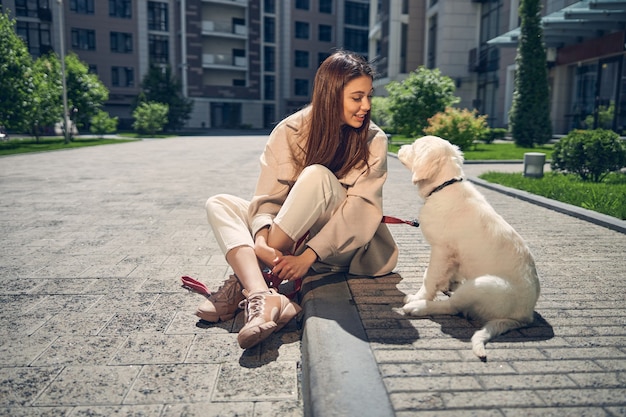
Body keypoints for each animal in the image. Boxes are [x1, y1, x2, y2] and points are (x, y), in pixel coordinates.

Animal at [398, 136, 540, 358]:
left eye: (414, 146)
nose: (399, 147)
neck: (444, 186)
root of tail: (524, 317)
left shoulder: (441, 249)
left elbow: (429, 276)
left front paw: (419, 296)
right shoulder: (454, 254)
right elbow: (446, 274)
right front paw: (446, 284)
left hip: (480, 285)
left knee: (453, 307)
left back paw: (418, 307)